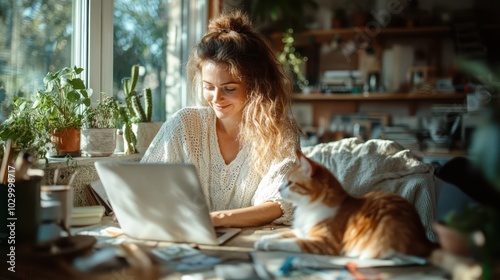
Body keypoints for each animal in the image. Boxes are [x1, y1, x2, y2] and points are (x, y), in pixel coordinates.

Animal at [254, 151, 438, 258]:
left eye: (290, 183)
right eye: (283, 181)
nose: (278, 189)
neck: (306, 210)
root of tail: (423, 238)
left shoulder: (325, 242)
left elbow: (292, 242)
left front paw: (268, 244)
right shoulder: (302, 232)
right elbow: (284, 234)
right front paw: (264, 238)